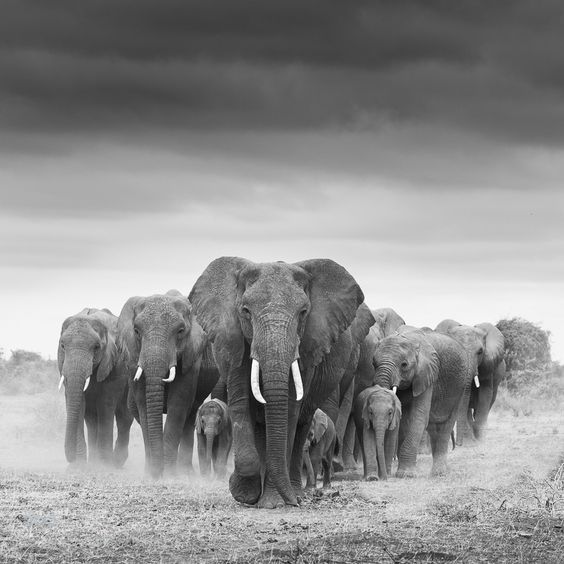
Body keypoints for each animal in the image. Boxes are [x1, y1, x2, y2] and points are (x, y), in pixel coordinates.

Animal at [57, 308, 133, 468]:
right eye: (62, 346)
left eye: (96, 347)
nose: (70, 458)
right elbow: (78, 404)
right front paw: (77, 467)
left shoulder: (116, 364)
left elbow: (106, 403)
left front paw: (104, 466)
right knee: (91, 419)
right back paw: (93, 461)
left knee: (124, 416)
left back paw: (116, 463)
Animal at [117, 290, 218, 480]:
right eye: (136, 330)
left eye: (180, 331)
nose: (158, 473)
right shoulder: (134, 357)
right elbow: (143, 404)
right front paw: (150, 473)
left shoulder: (191, 357)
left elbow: (178, 404)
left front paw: (170, 474)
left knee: (189, 417)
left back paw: (185, 472)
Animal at [189, 256, 372, 506]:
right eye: (245, 311)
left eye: (303, 312)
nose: (295, 503)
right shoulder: (234, 341)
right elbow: (241, 405)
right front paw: (245, 493)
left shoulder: (308, 346)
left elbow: (290, 411)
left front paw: (273, 501)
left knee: (302, 424)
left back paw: (295, 491)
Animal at [372, 326, 470, 476]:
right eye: (373, 363)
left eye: (404, 365)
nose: (386, 474)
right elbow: (404, 420)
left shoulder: (428, 374)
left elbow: (418, 418)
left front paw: (405, 474)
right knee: (433, 427)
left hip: (460, 386)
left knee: (445, 424)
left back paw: (439, 473)